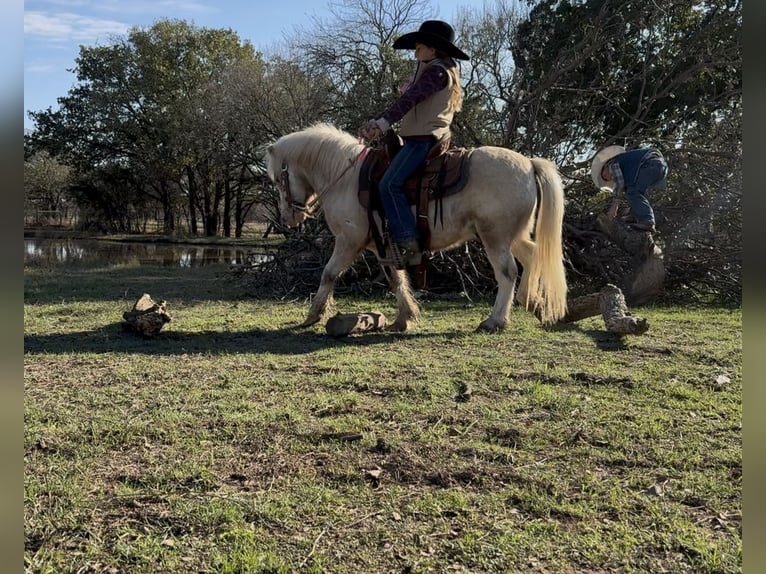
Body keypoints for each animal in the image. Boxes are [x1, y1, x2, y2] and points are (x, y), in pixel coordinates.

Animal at [265, 123, 567, 333]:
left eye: (279, 179)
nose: (289, 217)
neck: (347, 178)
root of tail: (529, 164)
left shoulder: (349, 241)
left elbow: (328, 274)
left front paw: (313, 315)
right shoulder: (382, 246)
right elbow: (396, 280)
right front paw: (404, 317)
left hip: (495, 237)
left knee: (507, 273)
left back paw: (495, 321)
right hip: (513, 236)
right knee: (533, 257)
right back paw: (533, 303)